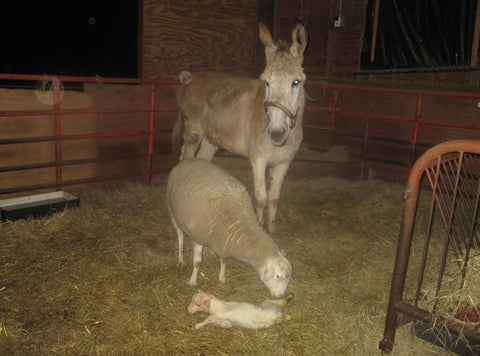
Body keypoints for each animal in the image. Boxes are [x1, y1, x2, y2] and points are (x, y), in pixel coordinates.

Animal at [165, 159, 292, 298]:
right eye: (278, 276)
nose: (281, 295)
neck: (237, 221)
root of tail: (187, 161)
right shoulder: (198, 238)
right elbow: (197, 262)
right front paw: (193, 281)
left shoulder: (223, 242)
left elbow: (224, 260)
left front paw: (222, 278)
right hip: (173, 212)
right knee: (180, 236)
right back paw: (181, 258)